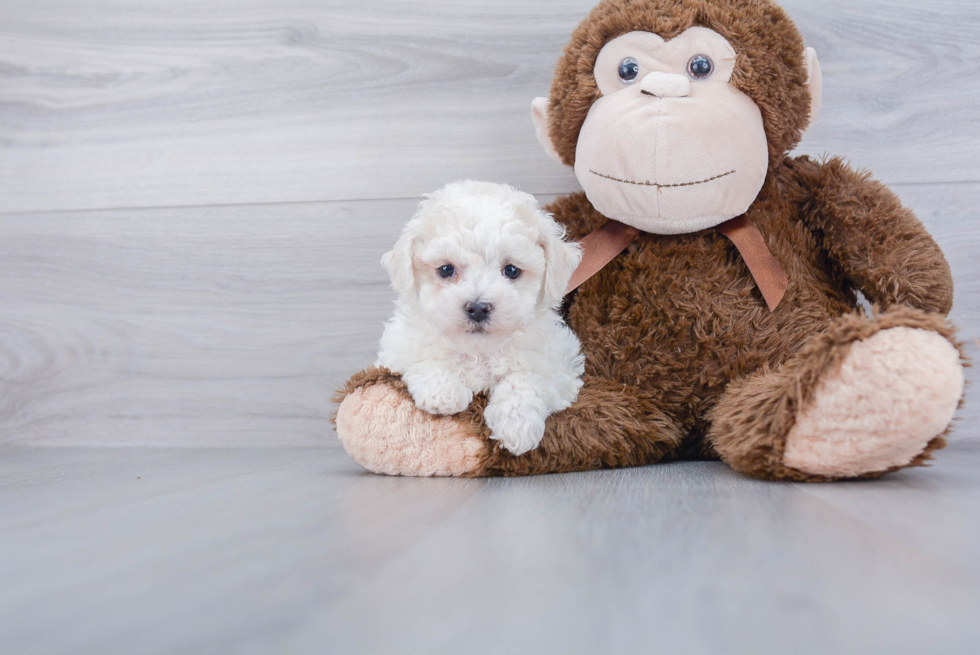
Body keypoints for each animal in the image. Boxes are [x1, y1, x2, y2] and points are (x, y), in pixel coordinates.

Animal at [378, 179, 584, 456]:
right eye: (446, 269)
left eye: (512, 270)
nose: (477, 308)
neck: (478, 350)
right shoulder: (396, 351)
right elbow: (423, 359)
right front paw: (443, 391)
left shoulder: (560, 369)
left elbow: (525, 378)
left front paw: (517, 425)